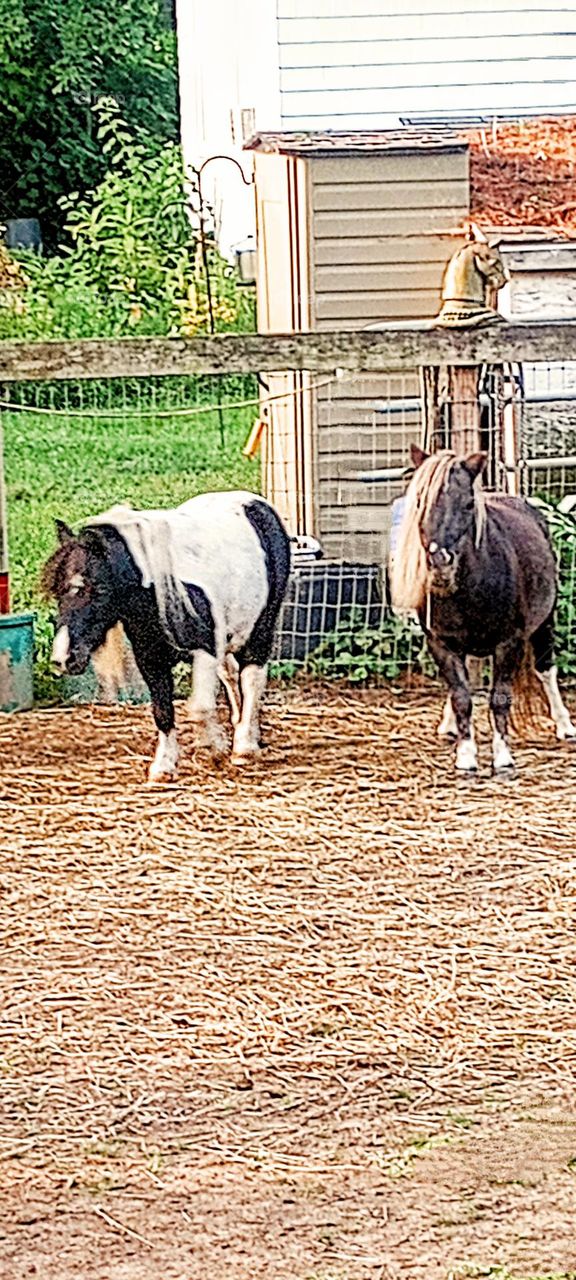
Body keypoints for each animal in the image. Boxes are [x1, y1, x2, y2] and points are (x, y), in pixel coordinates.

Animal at [42, 488, 290, 783]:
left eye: (97, 589)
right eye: (57, 592)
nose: (63, 658)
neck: (160, 592)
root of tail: (255, 503)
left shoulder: (204, 651)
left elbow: (199, 707)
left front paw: (215, 748)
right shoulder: (150, 659)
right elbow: (162, 711)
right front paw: (164, 765)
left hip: (260, 630)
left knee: (251, 678)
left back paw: (245, 746)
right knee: (232, 677)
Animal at [389, 445, 573, 773]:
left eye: (467, 504)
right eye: (420, 500)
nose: (440, 564)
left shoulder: (509, 643)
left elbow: (500, 697)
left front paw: (502, 756)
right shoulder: (441, 644)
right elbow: (461, 696)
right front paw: (466, 754)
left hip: (545, 623)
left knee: (546, 670)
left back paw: (565, 725)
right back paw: (449, 726)